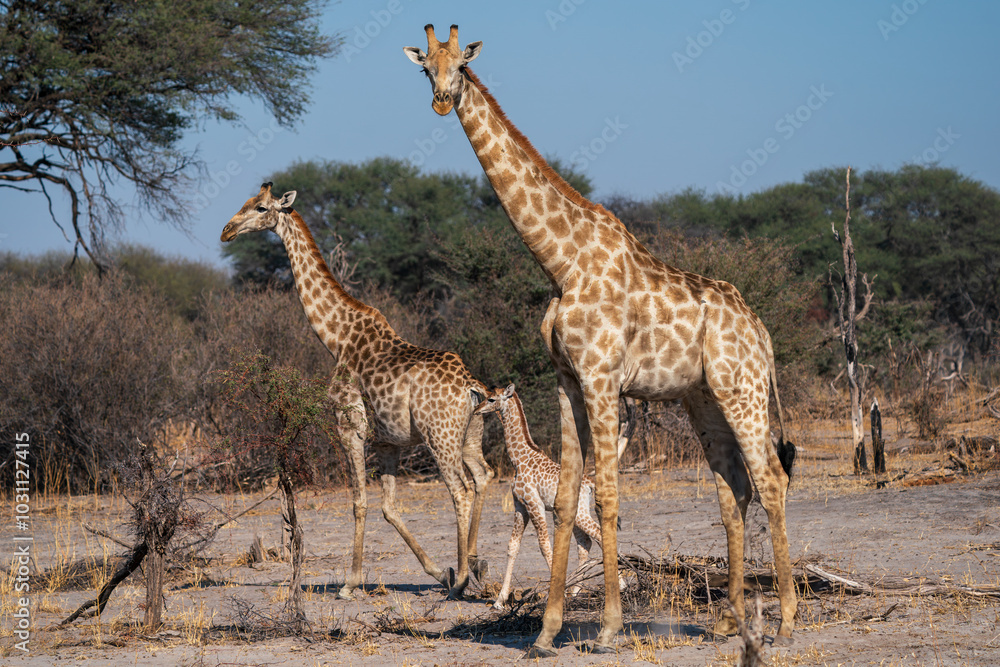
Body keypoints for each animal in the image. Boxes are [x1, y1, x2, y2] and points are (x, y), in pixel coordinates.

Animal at [220, 183, 494, 599]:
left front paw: (350, 582)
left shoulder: (349, 424)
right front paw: (437, 571)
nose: (227, 231)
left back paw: (462, 580)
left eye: (261, 207)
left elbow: (359, 502)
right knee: (481, 478)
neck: (336, 337)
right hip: (468, 436)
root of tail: (470, 385)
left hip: (440, 437)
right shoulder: (388, 442)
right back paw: (473, 569)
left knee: (460, 491)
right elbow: (389, 508)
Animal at [473, 384, 633, 609]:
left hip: (580, 513)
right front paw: (499, 601)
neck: (518, 459)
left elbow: (545, 546)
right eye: (485, 396)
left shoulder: (534, 505)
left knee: (599, 535)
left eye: (491, 399)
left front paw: (556, 595)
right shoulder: (520, 505)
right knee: (586, 543)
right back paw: (576, 589)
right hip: (576, 512)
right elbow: (513, 546)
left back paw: (620, 585)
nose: (476, 410)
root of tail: (589, 484)